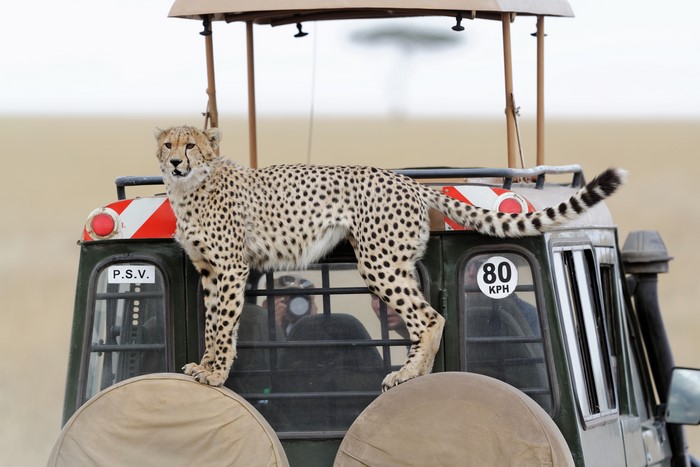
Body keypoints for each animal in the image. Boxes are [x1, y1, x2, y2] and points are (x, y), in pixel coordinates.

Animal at [154, 125, 626, 391]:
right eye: (168, 144)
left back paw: (409, 375)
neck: (188, 188)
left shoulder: (231, 267)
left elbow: (221, 323)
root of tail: (409, 181)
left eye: (191, 145)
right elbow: (218, 322)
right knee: (421, 317)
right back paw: (414, 371)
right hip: (396, 262)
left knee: (431, 317)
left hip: (378, 261)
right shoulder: (211, 272)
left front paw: (213, 374)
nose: (175, 161)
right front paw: (208, 367)